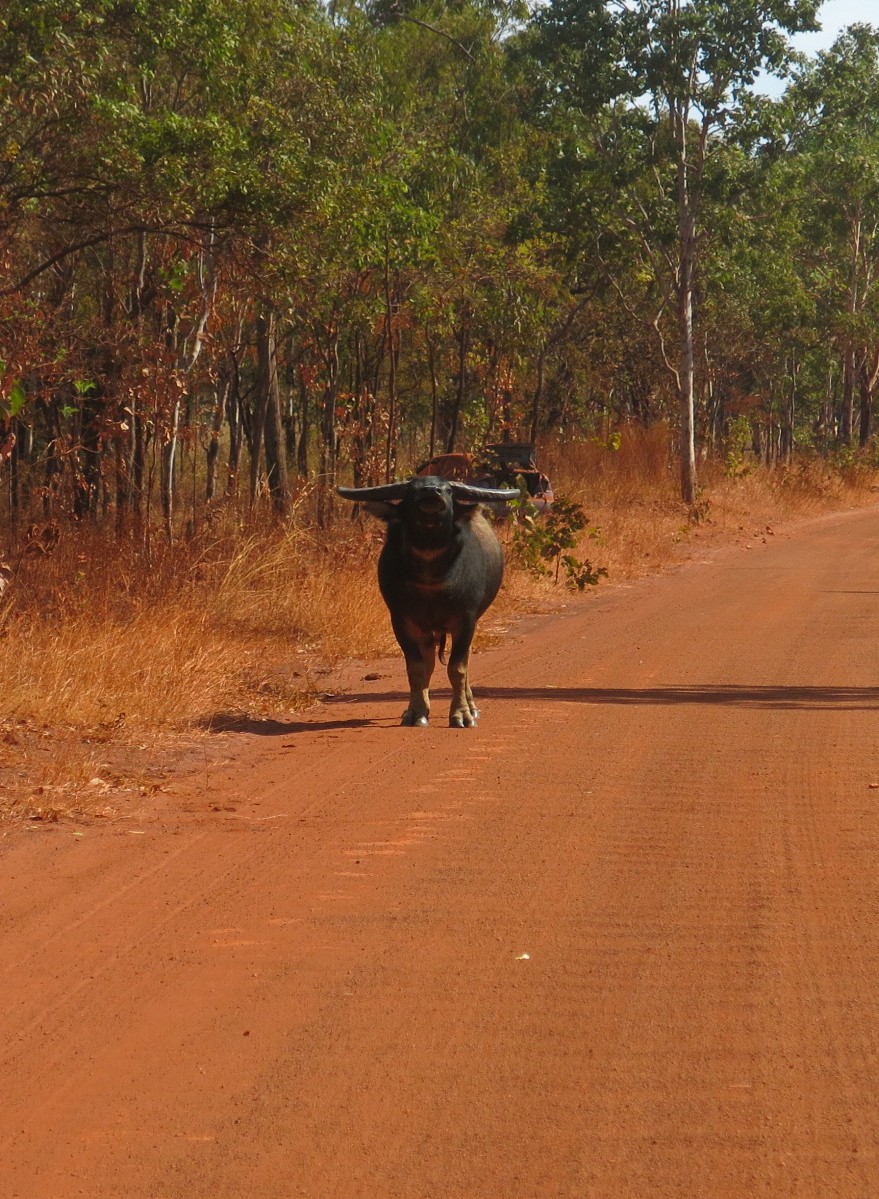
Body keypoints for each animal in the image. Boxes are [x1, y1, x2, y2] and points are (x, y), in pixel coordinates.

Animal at [333, 474, 513, 719]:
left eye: (448, 490)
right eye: (410, 490)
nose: (430, 491)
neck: (430, 575)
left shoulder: (466, 620)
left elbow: (458, 668)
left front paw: (461, 714)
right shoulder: (401, 620)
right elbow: (416, 667)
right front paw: (416, 712)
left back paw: (472, 706)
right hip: (426, 631)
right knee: (428, 661)